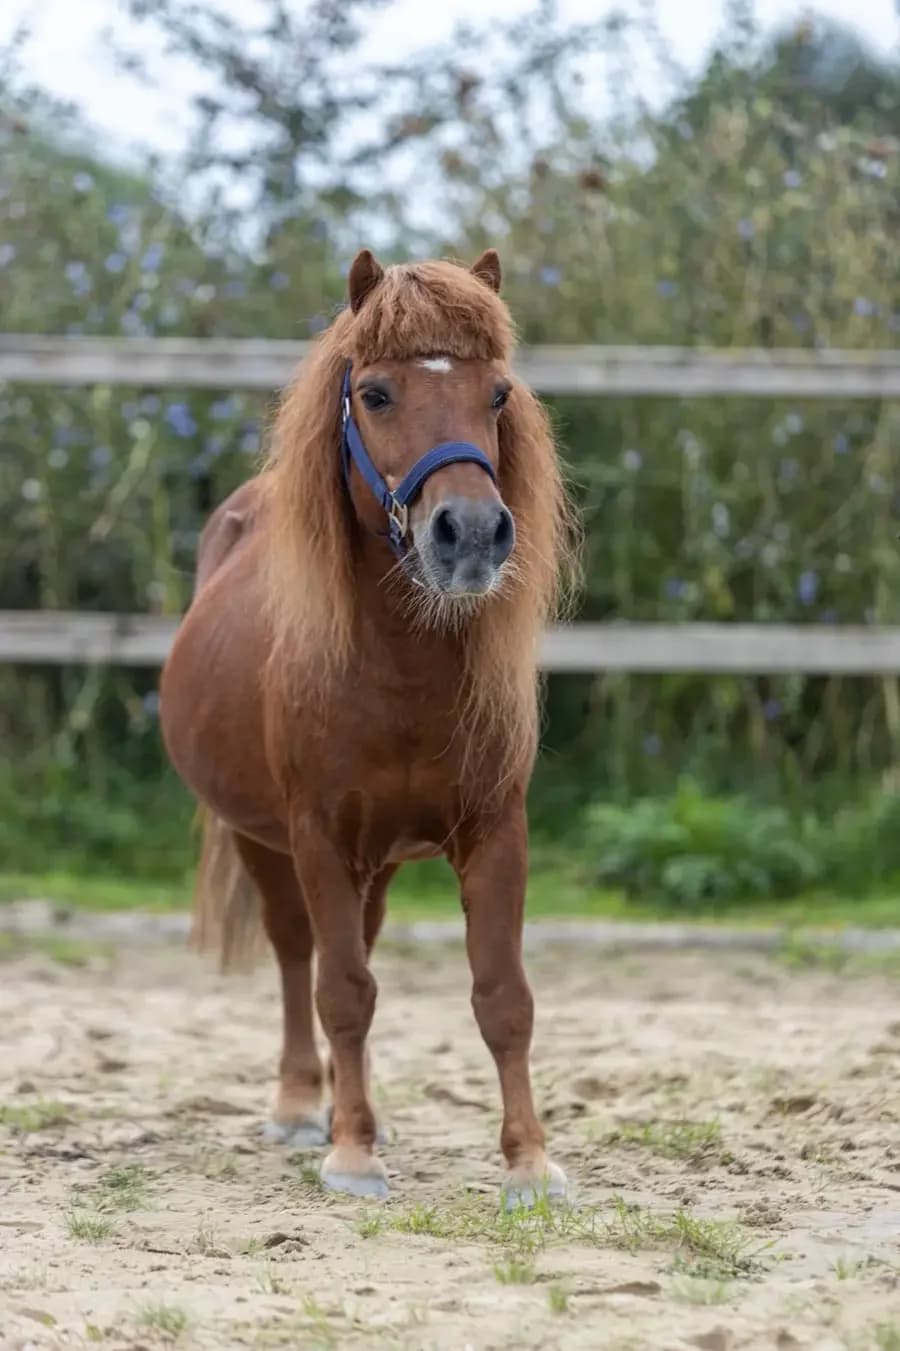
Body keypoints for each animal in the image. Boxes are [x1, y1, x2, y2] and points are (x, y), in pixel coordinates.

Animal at [159, 247, 577, 1208]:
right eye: (378, 394)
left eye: (497, 393)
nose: (470, 533)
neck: (401, 668)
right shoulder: (316, 837)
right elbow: (343, 988)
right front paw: (351, 1155)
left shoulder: (495, 831)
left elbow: (504, 995)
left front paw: (530, 1161)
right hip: (266, 844)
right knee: (296, 957)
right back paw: (301, 1107)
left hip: (376, 863)